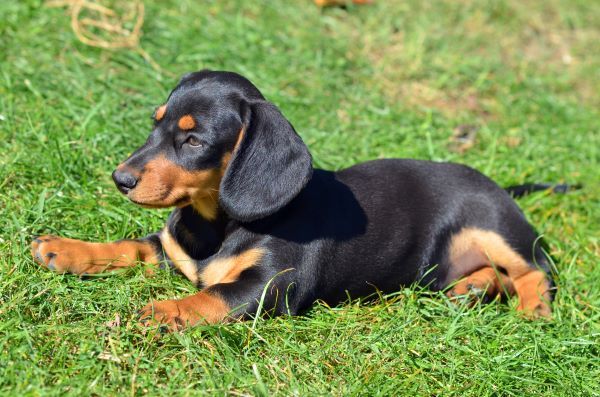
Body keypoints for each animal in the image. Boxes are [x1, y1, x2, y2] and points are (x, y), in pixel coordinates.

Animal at [30, 69, 552, 330]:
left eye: (193, 141)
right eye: (156, 124)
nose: (120, 178)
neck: (217, 223)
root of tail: (500, 187)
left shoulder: (269, 287)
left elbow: (209, 296)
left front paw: (160, 311)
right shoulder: (171, 246)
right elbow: (130, 247)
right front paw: (64, 249)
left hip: (495, 226)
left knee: (536, 270)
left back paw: (533, 312)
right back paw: (472, 288)